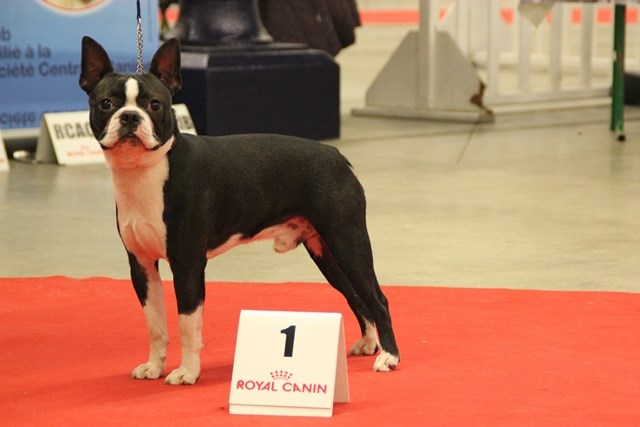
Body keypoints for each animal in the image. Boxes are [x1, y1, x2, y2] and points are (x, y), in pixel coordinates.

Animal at [79, 36, 400, 385]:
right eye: (106, 104)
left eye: (154, 105)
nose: (130, 117)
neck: (145, 170)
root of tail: (336, 155)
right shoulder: (141, 265)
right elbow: (155, 323)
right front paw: (154, 366)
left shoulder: (187, 264)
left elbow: (187, 324)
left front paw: (187, 372)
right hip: (327, 251)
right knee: (356, 296)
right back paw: (369, 343)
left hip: (347, 240)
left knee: (377, 298)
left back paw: (388, 356)